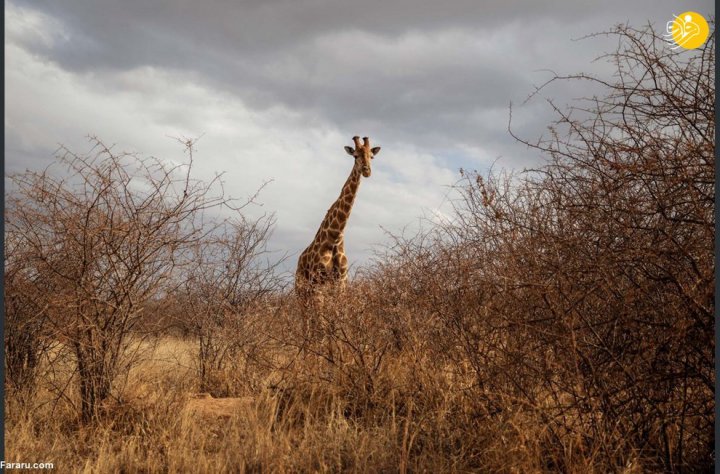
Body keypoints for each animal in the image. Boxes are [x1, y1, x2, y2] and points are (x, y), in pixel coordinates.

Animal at [294, 135, 380, 302]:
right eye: (355, 156)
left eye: (371, 157)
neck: (334, 237)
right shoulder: (318, 284)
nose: (367, 171)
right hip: (301, 290)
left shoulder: (342, 282)